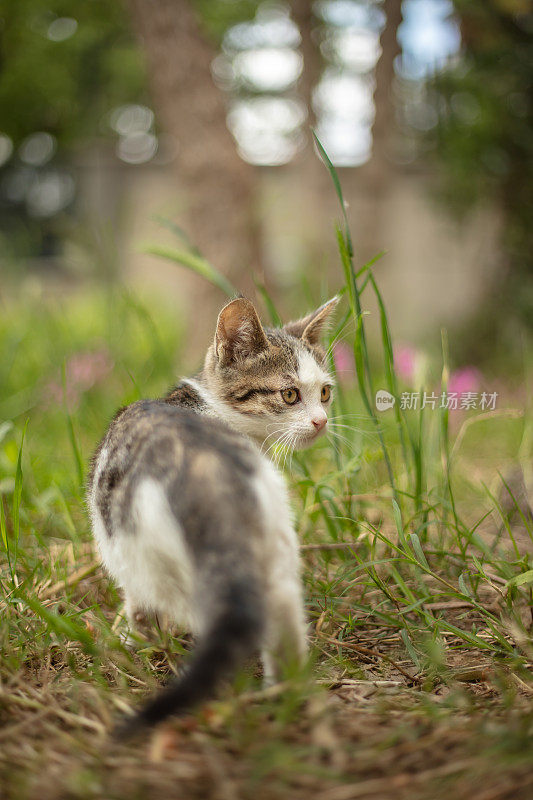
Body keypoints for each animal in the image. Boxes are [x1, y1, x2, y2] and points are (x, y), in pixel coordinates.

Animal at [87, 296, 336, 736]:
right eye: (290, 394)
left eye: (323, 393)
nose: (321, 421)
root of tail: (204, 465)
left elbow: (137, 608)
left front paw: (134, 641)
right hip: (273, 532)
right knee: (282, 606)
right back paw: (284, 691)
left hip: (156, 560)